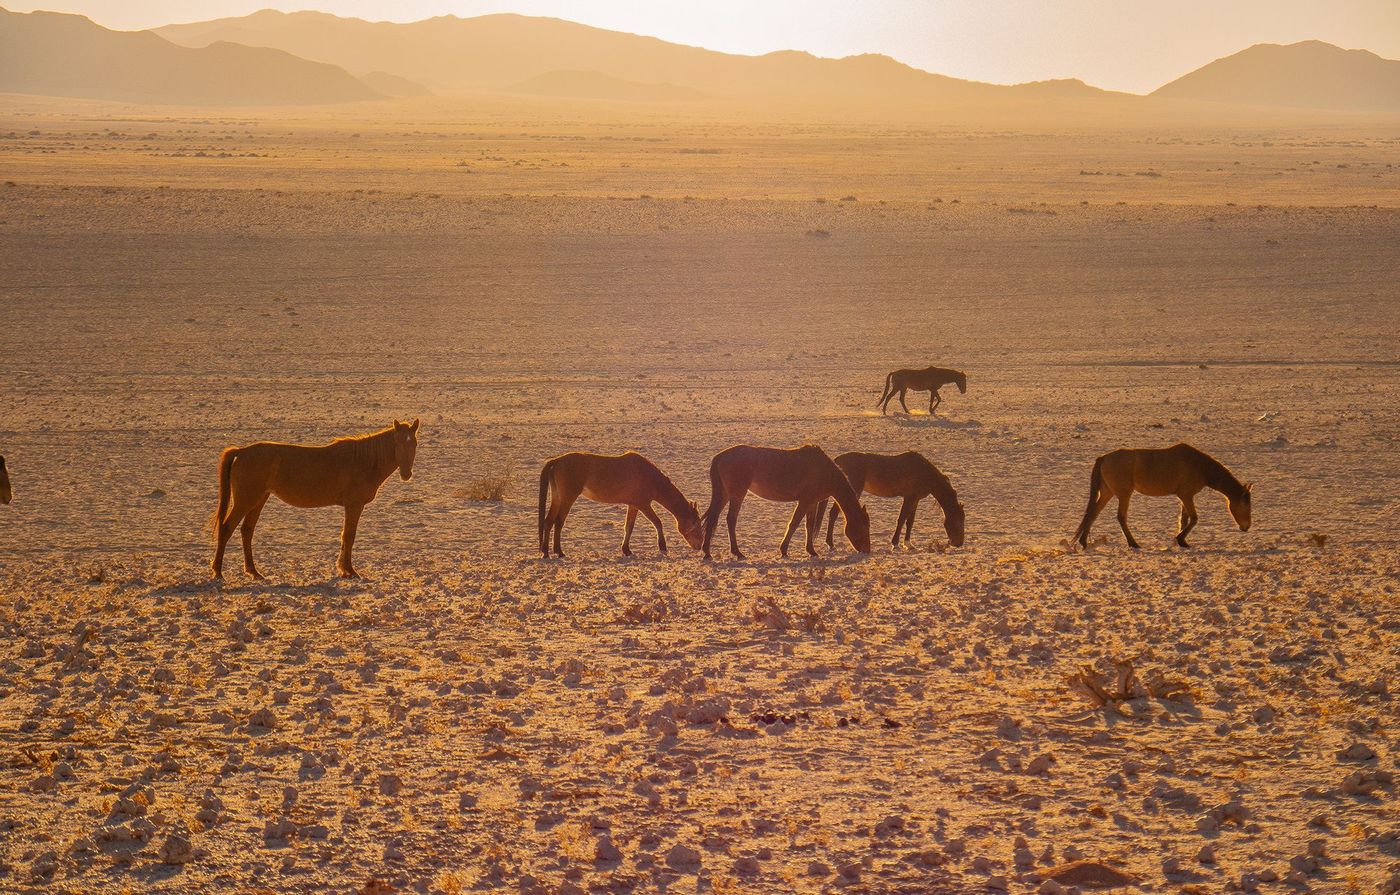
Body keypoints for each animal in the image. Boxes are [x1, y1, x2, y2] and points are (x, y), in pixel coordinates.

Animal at [212, 419, 419, 580]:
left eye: (414, 444)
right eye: (398, 443)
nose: (406, 474)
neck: (363, 460)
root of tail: (241, 451)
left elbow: (345, 535)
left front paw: (343, 569)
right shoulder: (354, 505)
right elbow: (349, 535)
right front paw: (350, 571)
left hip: (258, 499)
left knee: (247, 531)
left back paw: (254, 572)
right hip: (245, 501)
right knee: (226, 528)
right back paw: (218, 572)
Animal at [537, 451, 704, 558]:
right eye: (696, 525)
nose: (700, 546)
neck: (649, 476)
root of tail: (556, 461)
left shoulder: (633, 505)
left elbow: (628, 526)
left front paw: (626, 550)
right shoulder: (643, 504)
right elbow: (657, 522)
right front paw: (662, 547)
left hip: (557, 497)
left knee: (548, 521)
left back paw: (545, 551)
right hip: (568, 498)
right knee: (559, 522)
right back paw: (559, 551)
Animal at [702, 445, 871, 559]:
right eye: (864, 527)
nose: (867, 551)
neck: (825, 472)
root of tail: (720, 456)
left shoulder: (812, 503)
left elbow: (809, 525)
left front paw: (811, 550)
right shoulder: (804, 501)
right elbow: (794, 523)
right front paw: (784, 550)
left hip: (724, 494)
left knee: (713, 518)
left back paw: (707, 552)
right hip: (737, 493)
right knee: (731, 519)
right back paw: (737, 552)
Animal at [818, 451, 964, 549]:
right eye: (958, 522)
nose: (959, 543)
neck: (923, 472)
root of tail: (838, 460)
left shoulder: (915, 499)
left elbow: (910, 521)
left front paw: (908, 544)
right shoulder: (909, 498)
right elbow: (902, 519)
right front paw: (895, 544)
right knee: (833, 514)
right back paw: (830, 544)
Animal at [1073, 443, 1251, 550]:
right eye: (1245, 505)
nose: (1246, 526)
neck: (1200, 467)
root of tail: (1103, 458)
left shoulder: (1184, 497)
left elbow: (1184, 519)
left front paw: (1181, 541)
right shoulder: (1186, 495)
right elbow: (1194, 519)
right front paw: (1180, 539)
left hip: (1107, 492)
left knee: (1093, 513)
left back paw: (1083, 541)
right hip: (1124, 494)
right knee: (1120, 517)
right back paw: (1133, 543)